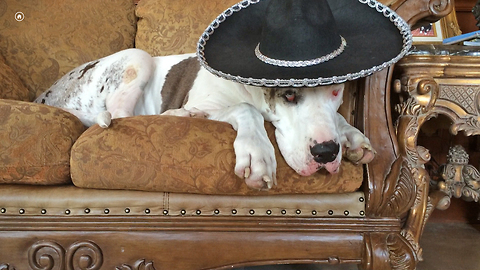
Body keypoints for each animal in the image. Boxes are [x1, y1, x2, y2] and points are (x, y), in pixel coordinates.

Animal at [35, 48, 376, 190]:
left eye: (336, 92)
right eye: (290, 95)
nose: (326, 152)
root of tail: (45, 95)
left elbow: (338, 119)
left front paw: (352, 136)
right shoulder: (211, 102)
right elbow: (246, 108)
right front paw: (257, 153)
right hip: (136, 57)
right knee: (122, 114)